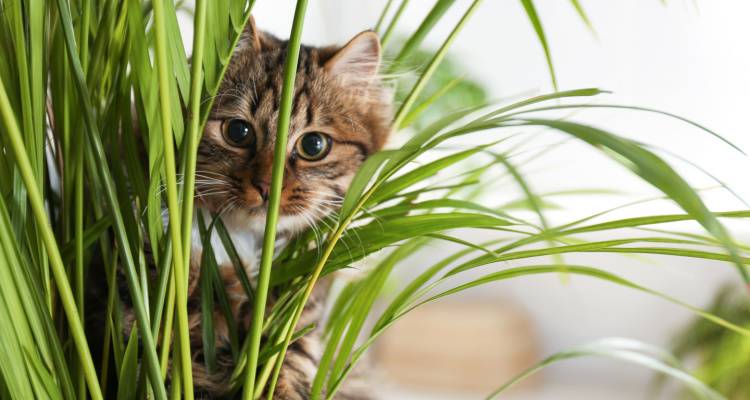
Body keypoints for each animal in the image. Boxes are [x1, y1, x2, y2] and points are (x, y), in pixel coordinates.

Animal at [92, 17, 394, 398]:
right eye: (238, 131)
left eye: (313, 145)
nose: (266, 187)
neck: (241, 245)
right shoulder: (142, 313)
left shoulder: (296, 321)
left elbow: (289, 368)